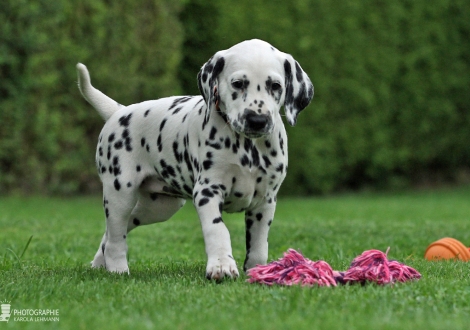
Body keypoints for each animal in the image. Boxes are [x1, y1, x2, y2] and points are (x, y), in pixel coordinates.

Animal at [76, 39, 312, 282]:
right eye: (237, 84)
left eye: (275, 85)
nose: (257, 120)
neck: (248, 148)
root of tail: (119, 111)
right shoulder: (208, 191)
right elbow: (217, 230)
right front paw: (221, 266)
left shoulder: (265, 200)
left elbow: (258, 243)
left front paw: (258, 270)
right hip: (120, 193)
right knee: (115, 235)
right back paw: (117, 269)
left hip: (159, 207)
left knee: (112, 233)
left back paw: (98, 264)